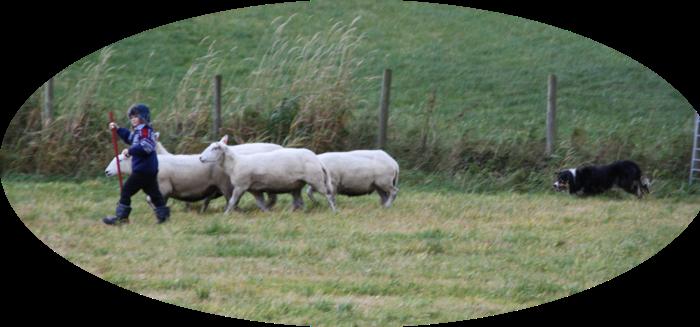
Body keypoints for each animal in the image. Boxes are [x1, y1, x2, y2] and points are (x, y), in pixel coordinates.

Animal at [198, 135, 338, 214]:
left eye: (214, 148)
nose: (200, 158)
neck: (235, 163)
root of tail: (316, 159)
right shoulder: (254, 190)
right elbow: (261, 203)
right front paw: (267, 212)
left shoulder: (241, 186)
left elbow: (232, 201)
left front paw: (226, 214)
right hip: (298, 184)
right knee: (299, 201)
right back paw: (295, 212)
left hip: (316, 180)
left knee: (328, 195)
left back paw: (334, 210)